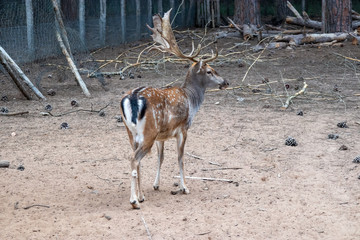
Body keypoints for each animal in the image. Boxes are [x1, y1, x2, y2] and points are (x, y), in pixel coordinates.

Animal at [119, 9, 229, 208]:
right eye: (209, 71)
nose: (226, 82)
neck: (191, 99)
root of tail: (132, 98)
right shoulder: (183, 128)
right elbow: (181, 157)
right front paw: (185, 187)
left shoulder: (162, 135)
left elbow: (160, 157)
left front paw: (155, 185)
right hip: (148, 132)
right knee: (134, 159)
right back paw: (134, 201)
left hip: (132, 133)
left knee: (136, 160)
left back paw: (141, 196)